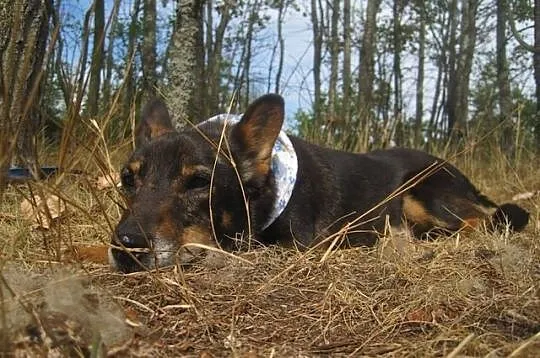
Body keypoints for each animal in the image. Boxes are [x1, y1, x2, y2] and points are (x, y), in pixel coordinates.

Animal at [108, 93, 528, 272]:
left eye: (198, 182)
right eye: (128, 179)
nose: (126, 247)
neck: (267, 188)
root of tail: (462, 177)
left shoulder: (293, 244)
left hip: (417, 193)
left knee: (483, 221)